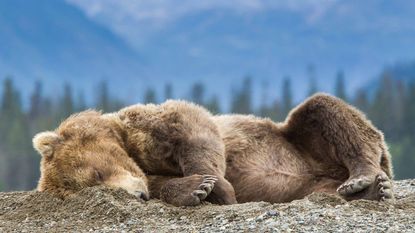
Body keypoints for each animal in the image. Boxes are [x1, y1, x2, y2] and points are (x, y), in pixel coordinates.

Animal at [32, 93, 394, 206]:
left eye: (97, 172)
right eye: (91, 187)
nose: (136, 196)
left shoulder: (144, 126)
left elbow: (192, 125)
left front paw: (215, 186)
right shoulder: (150, 174)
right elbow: (165, 184)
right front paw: (197, 189)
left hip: (299, 138)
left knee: (326, 111)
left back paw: (363, 178)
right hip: (307, 185)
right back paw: (365, 191)